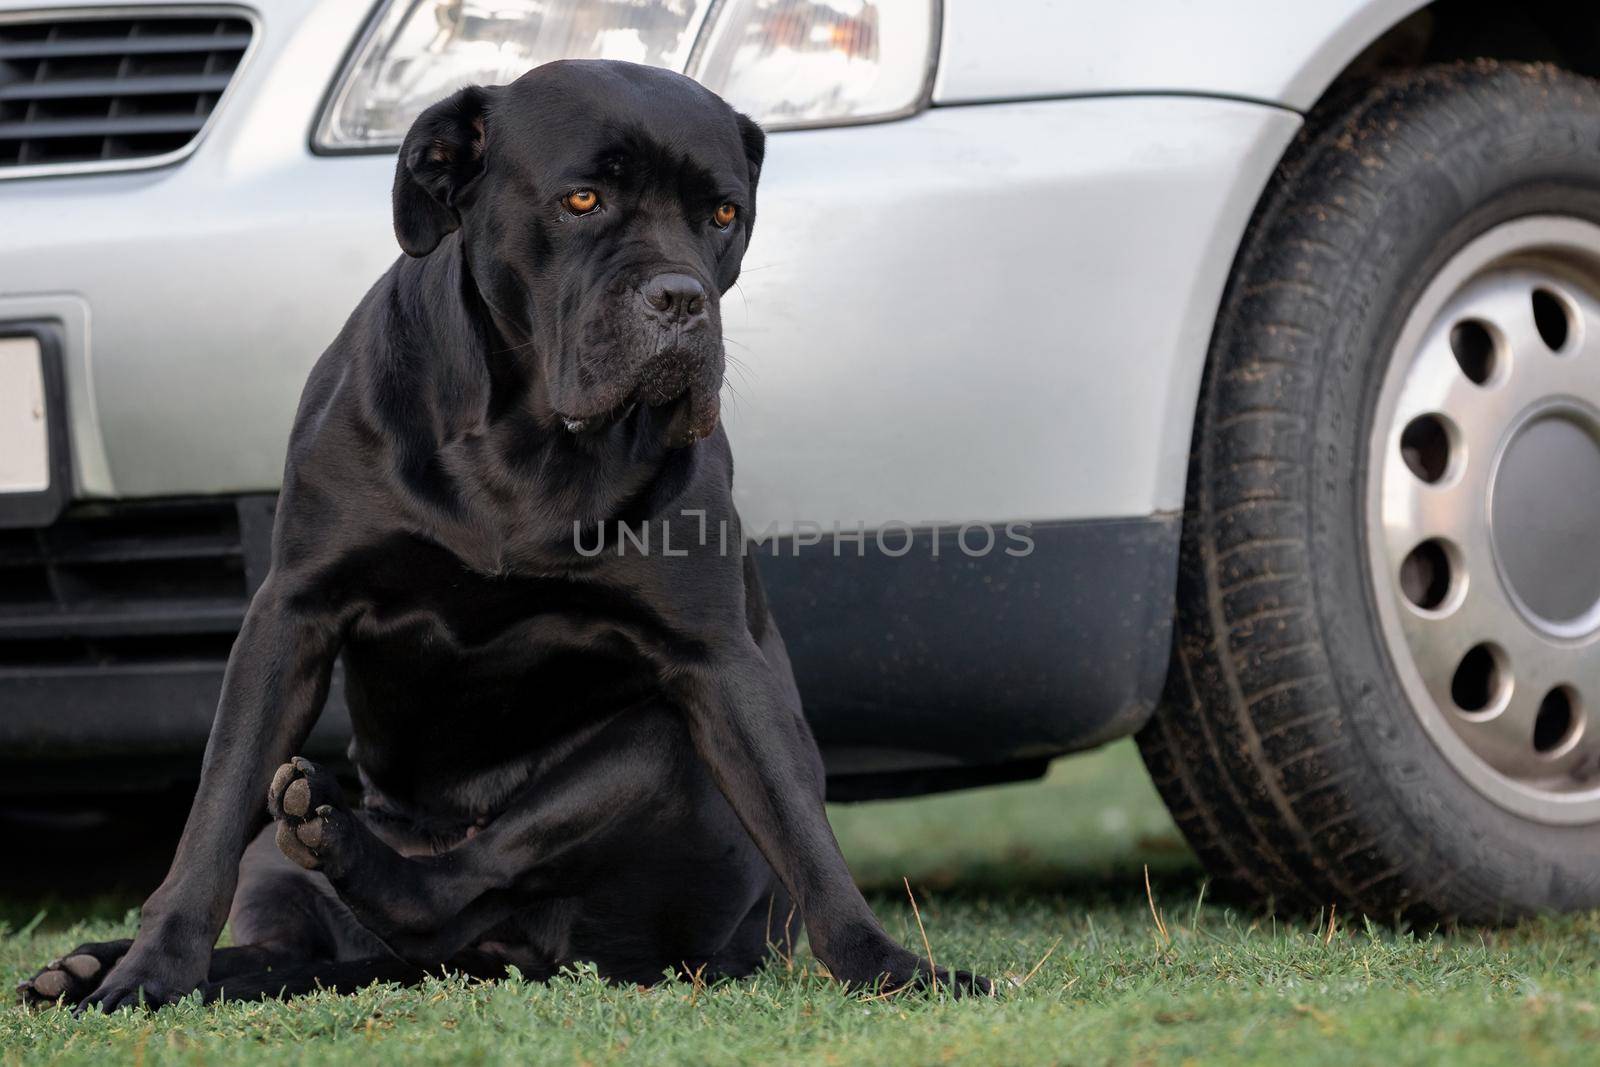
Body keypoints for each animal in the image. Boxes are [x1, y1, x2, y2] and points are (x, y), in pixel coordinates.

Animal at [18, 62, 985, 1017]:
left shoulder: (716, 659)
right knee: (288, 927)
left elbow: (800, 824)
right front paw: (150, 969)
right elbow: (213, 810)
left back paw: (334, 839)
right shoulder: (292, 612)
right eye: (583, 199)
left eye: (723, 214)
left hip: (661, 749)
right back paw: (96, 960)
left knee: (453, 884)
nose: (682, 300)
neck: (524, 438)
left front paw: (887, 962)